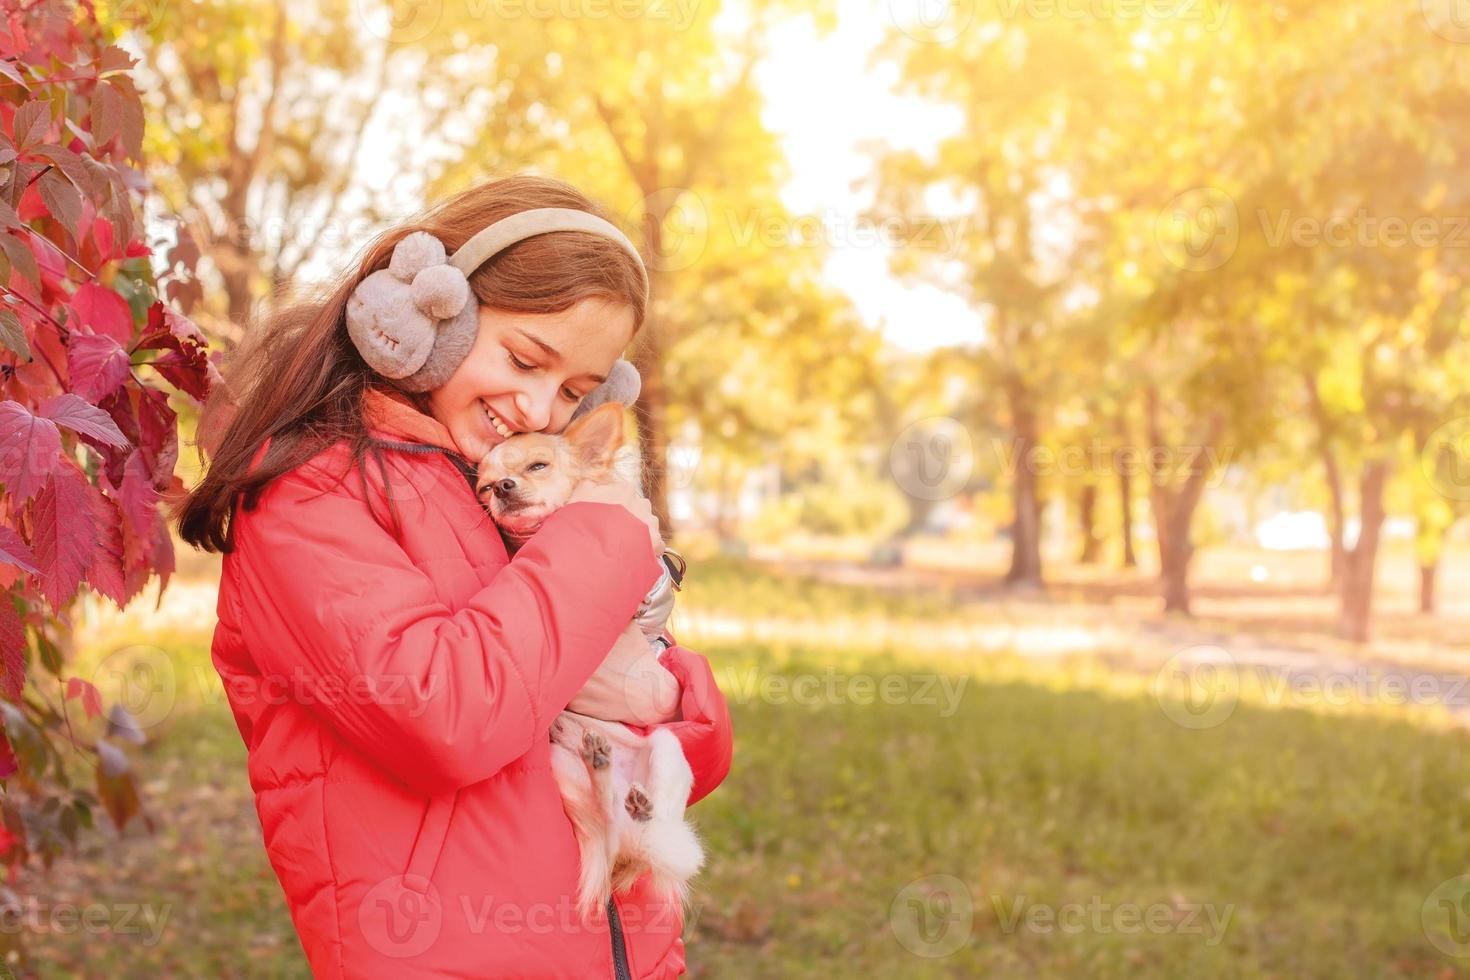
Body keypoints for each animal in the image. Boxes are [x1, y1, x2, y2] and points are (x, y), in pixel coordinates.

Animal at [470, 399, 699, 922]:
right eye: (484, 488)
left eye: (538, 466)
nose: (503, 489)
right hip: (559, 765)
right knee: (606, 821)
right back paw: (603, 773)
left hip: (667, 751)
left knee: (642, 821)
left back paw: (635, 802)